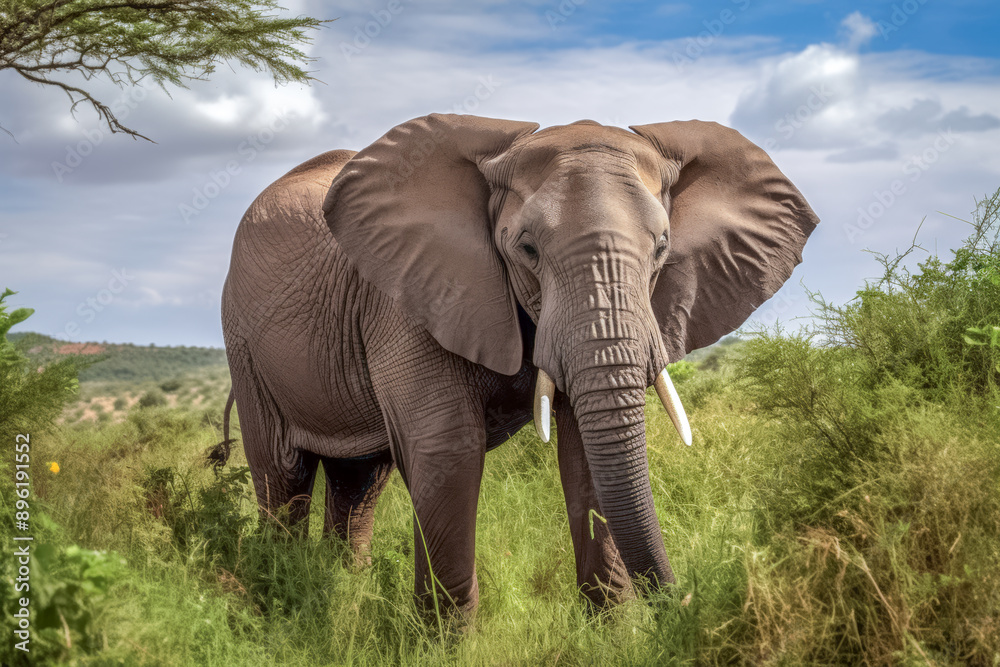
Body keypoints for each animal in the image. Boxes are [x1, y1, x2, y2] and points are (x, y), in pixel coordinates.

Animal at [220, 113, 819, 617]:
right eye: (527, 249)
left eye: (662, 249)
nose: (689, 602)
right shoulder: (411, 296)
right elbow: (447, 449)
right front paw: (444, 644)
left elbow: (586, 455)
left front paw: (615, 631)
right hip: (243, 342)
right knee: (283, 475)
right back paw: (280, 596)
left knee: (359, 481)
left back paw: (344, 593)